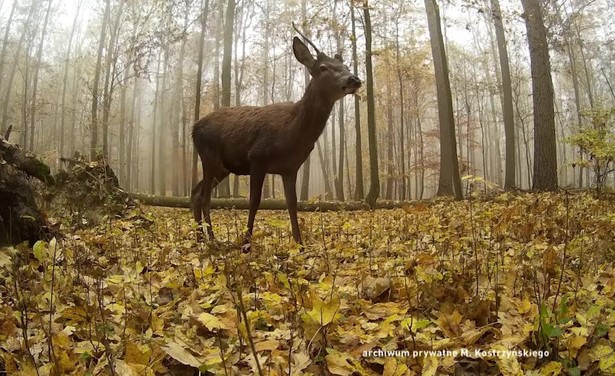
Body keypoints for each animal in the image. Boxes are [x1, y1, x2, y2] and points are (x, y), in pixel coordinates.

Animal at [192, 27, 360, 250]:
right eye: (323, 68)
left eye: (346, 66)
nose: (354, 79)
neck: (292, 131)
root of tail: (193, 128)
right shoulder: (257, 157)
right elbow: (254, 201)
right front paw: (246, 244)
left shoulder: (290, 168)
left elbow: (292, 203)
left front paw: (300, 244)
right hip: (209, 157)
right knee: (204, 197)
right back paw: (211, 240)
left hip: (222, 167)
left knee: (196, 193)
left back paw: (200, 239)